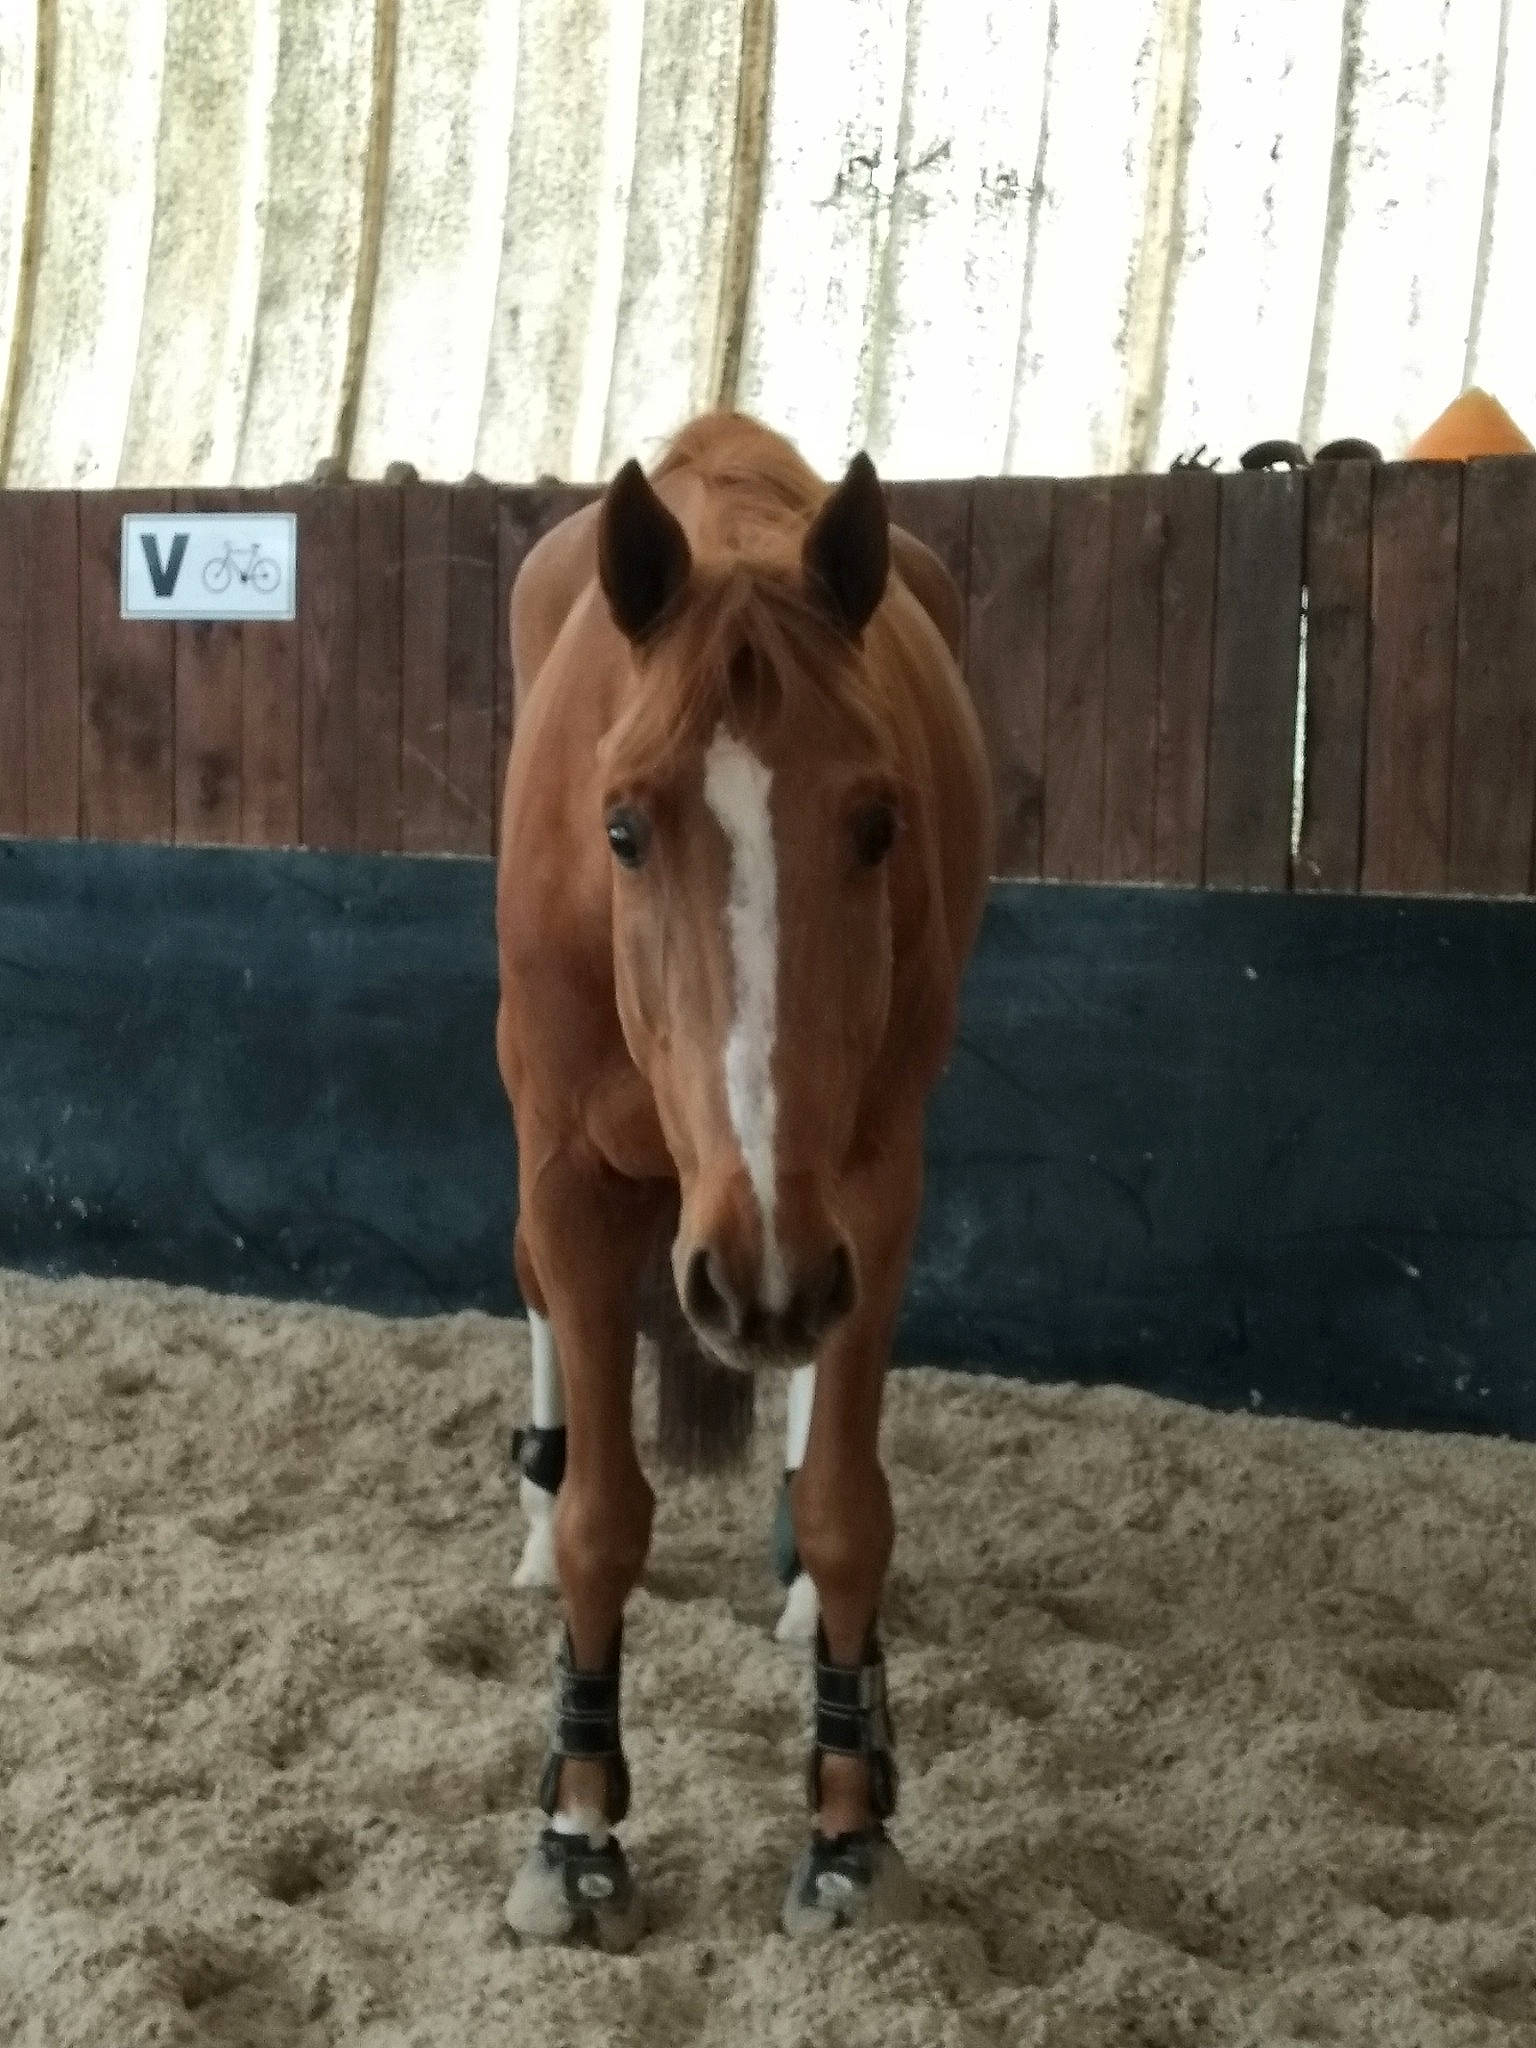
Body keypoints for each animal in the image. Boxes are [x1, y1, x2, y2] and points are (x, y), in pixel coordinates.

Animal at [495, 411, 994, 1944]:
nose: (759, 1276)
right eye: (621, 827)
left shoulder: (863, 1192)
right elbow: (603, 1520)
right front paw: (577, 1827)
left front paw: (845, 1817)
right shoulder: (570, 1179)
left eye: (879, 823)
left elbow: (845, 1508)